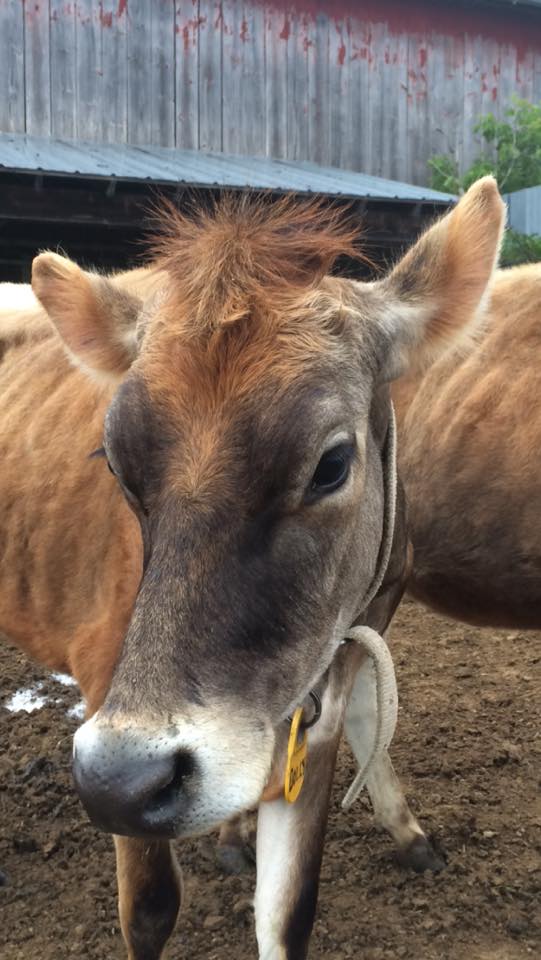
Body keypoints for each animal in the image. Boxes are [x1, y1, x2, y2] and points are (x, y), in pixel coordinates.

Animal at [1, 178, 502, 952]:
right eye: (114, 464)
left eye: (331, 464)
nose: (120, 780)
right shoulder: (104, 682)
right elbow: (149, 909)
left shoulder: (317, 717)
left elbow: (287, 912)